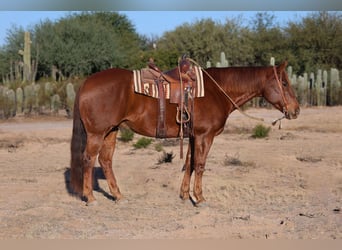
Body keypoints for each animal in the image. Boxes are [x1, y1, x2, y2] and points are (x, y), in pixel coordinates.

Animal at [70, 60, 300, 205]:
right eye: (284, 82)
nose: (296, 110)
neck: (217, 91)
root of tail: (86, 82)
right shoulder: (205, 136)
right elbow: (200, 165)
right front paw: (199, 198)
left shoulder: (192, 136)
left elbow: (189, 163)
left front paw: (184, 194)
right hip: (97, 133)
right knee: (88, 159)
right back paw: (90, 198)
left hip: (111, 131)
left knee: (105, 161)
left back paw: (118, 196)